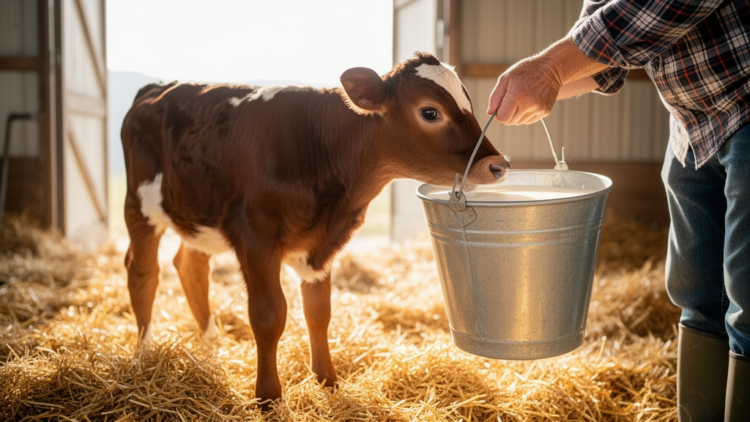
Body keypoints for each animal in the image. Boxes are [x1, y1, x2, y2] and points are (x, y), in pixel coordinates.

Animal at [121, 52, 509, 404]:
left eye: (469, 104)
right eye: (430, 112)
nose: (498, 165)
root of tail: (156, 88)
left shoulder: (322, 244)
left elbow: (319, 312)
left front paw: (328, 381)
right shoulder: (255, 237)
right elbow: (268, 316)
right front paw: (268, 398)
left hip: (198, 215)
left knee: (190, 267)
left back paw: (211, 345)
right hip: (139, 205)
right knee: (143, 273)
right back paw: (145, 355)